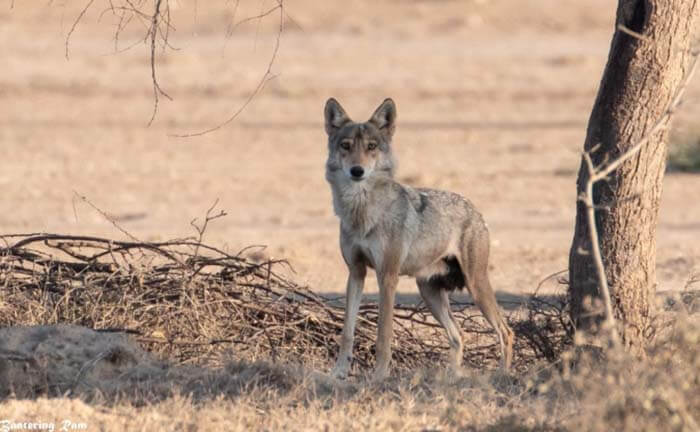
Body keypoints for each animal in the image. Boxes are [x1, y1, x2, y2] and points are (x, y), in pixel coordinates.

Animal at [322, 96, 516, 380]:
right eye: (346, 146)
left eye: (371, 147)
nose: (357, 171)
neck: (362, 211)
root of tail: (475, 209)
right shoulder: (356, 273)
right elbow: (347, 331)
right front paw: (338, 372)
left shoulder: (387, 277)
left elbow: (384, 334)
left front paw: (379, 375)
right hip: (429, 293)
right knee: (458, 336)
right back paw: (451, 377)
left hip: (476, 286)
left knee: (506, 331)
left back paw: (502, 374)